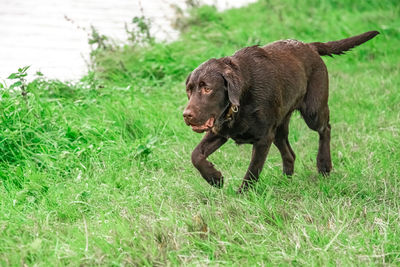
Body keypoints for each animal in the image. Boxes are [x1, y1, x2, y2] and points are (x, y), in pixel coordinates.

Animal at [184, 31, 378, 193]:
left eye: (207, 89)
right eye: (189, 90)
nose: (186, 115)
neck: (242, 97)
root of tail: (310, 46)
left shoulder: (263, 138)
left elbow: (253, 170)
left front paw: (242, 195)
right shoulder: (220, 131)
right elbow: (196, 155)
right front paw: (214, 178)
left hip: (313, 111)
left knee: (325, 129)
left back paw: (323, 164)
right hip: (279, 127)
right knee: (290, 154)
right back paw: (285, 182)